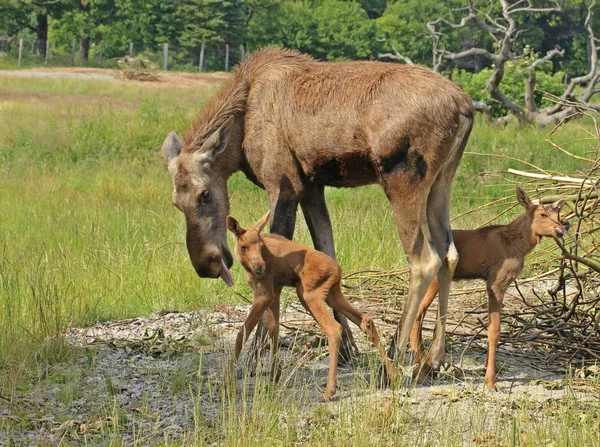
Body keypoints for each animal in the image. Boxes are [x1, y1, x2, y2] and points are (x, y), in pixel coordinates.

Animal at [161, 49, 474, 372]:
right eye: (176, 203)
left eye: (205, 194)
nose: (205, 265)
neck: (239, 135)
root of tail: (464, 106)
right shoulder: (312, 188)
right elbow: (329, 254)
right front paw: (348, 346)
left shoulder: (282, 184)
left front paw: (257, 355)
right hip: (441, 183)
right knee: (449, 254)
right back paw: (436, 356)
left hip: (402, 180)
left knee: (424, 260)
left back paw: (395, 352)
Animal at [226, 212, 398, 400]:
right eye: (244, 246)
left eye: (261, 246)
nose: (260, 267)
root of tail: (338, 269)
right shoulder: (275, 291)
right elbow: (273, 330)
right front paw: (273, 377)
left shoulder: (264, 293)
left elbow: (242, 334)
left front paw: (229, 382)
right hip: (332, 294)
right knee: (366, 320)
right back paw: (394, 375)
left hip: (308, 294)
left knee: (334, 328)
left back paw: (329, 391)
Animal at [410, 187, 568, 390]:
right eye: (542, 214)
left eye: (557, 213)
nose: (563, 227)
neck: (520, 245)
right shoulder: (495, 282)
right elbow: (494, 330)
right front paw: (491, 379)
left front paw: (489, 367)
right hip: (434, 279)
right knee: (417, 314)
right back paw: (421, 370)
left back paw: (426, 365)